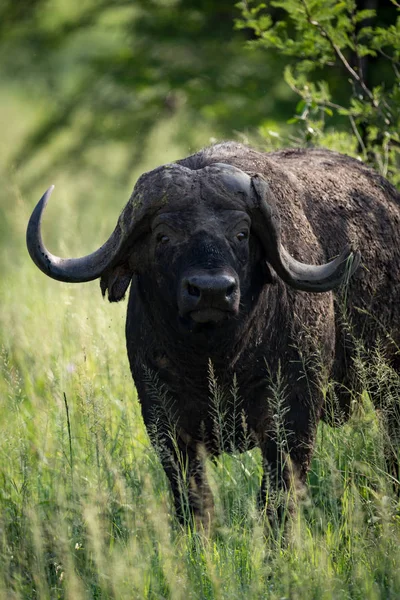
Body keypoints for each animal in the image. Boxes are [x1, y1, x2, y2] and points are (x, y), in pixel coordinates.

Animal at [26, 143, 398, 528]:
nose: (211, 291)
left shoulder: (294, 415)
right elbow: (193, 495)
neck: (217, 359)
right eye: (163, 236)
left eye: (242, 234)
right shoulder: (163, 418)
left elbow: (278, 495)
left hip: (388, 381)